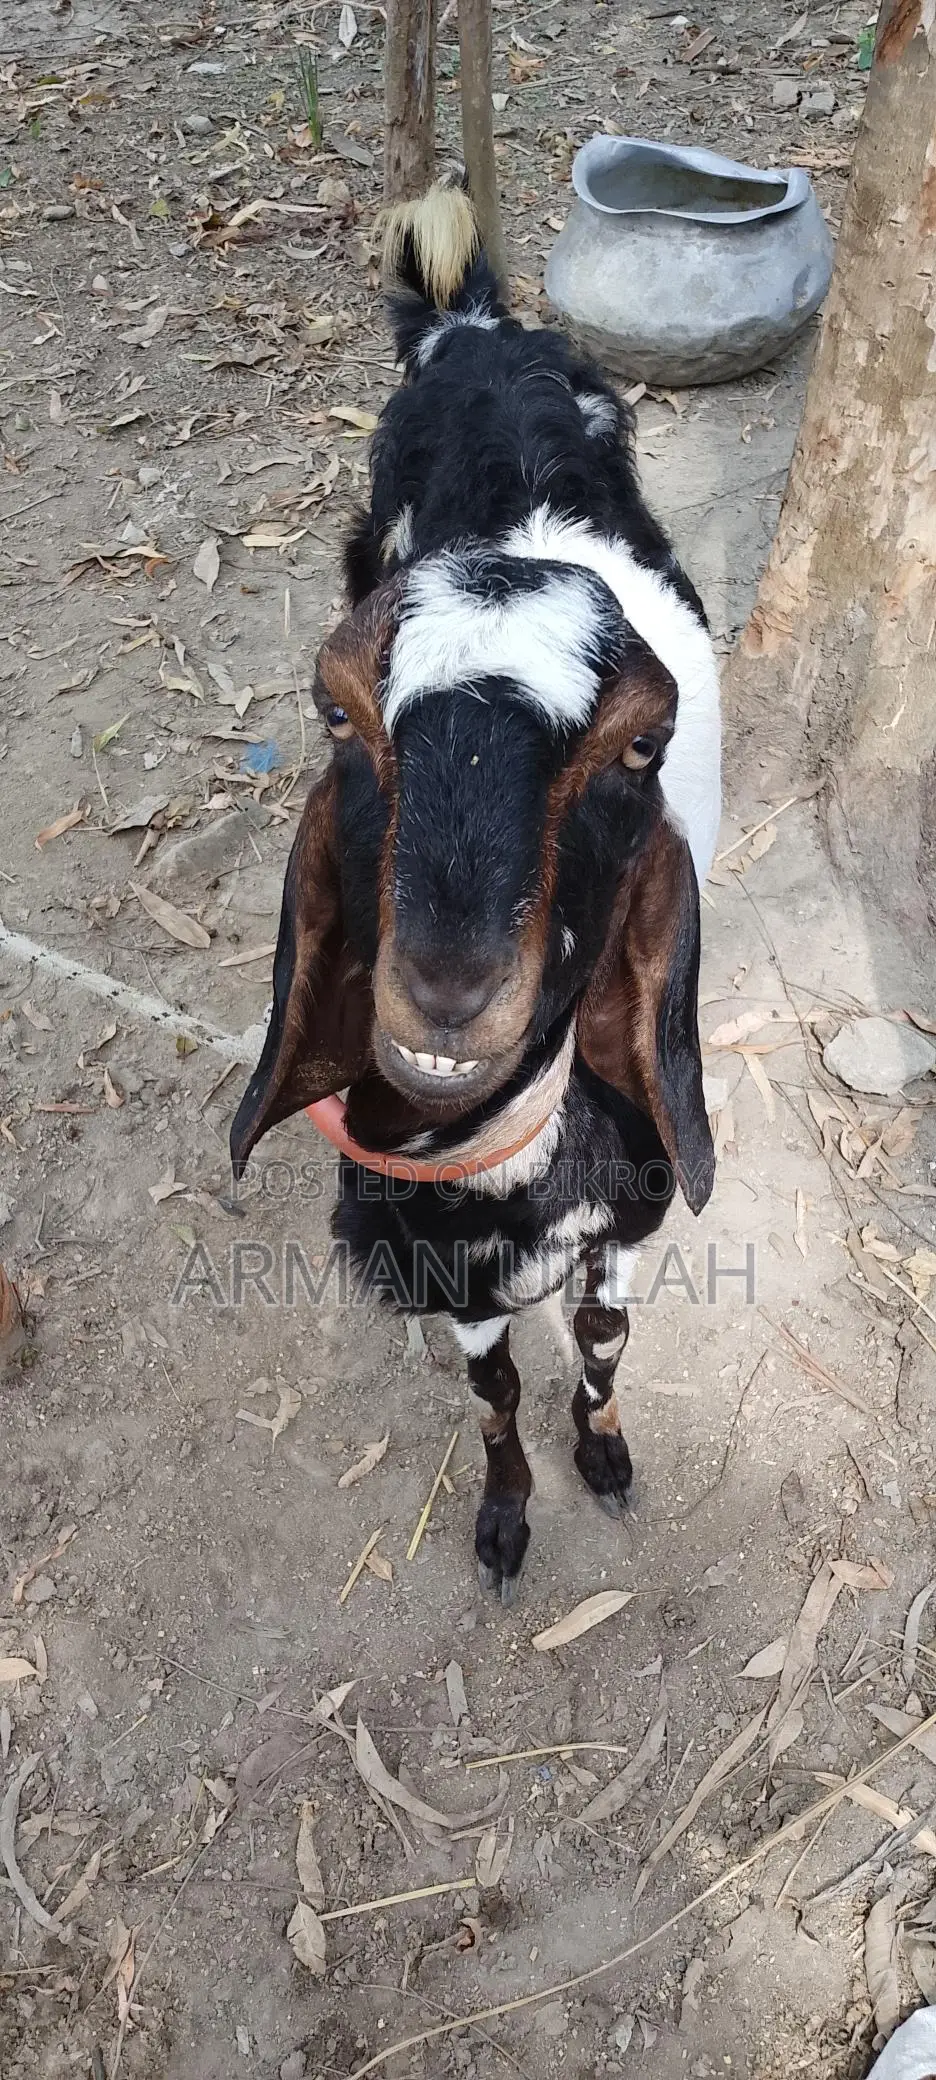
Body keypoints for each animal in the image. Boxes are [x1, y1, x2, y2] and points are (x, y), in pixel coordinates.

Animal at [231, 182, 721, 1602]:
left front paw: (603, 1457)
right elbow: (494, 1394)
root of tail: (477, 326)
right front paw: (506, 1518)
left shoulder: (629, 1214)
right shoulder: (449, 1277)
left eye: (639, 748)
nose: (448, 988)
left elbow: (603, 1345)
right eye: (337, 715)